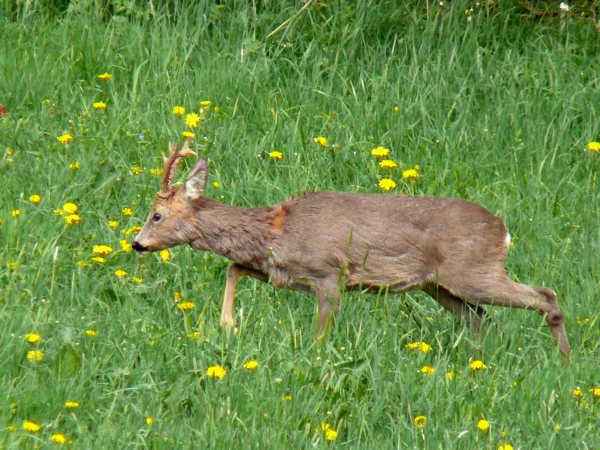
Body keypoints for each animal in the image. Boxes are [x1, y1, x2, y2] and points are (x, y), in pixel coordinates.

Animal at [134, 139, 568, 356]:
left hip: (474, 271)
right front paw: (228, 324)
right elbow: (233, 267)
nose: (137, 244)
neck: (278, 229)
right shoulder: (284, 273)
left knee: (545, 295)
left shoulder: (328, 273)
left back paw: (565, 361)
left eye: (156, 214)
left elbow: (320, 335)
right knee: (482, 320)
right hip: (439, 286)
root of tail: (503, 229)